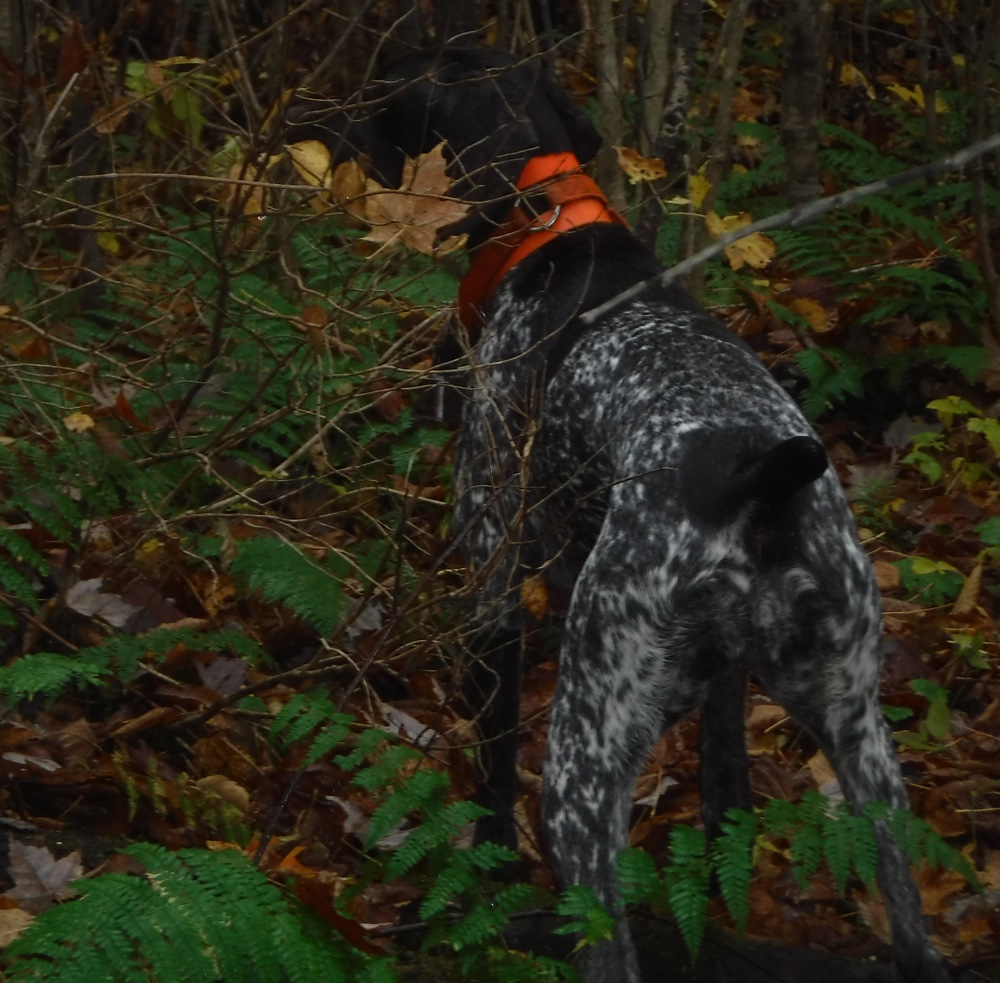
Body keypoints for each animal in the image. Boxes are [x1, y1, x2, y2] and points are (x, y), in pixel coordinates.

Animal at [292, 46, 948, 983]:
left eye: (390, 98)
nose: (318, 126)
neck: (549, 220)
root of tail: (762, 474)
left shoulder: (494, 581)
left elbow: (492, 772)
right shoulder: (723, 693)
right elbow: (725, 795)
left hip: (583, 762)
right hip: (869, 756)